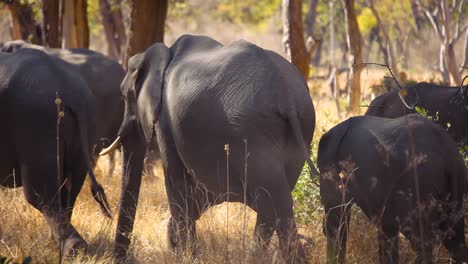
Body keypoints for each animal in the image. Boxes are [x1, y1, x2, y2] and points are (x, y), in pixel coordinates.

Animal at [0, 48, 110, 255]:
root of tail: (73, 95)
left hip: (38, 121)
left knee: (42, 195)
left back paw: (72, 250)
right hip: (87, 122)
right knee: (70, 190)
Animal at [99, 34, 318, 262]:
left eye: (125, 96)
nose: (120, 258)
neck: (161, 53)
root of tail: (287, 97)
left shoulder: (166, 122)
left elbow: (177, 183)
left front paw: (188, 257)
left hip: (253, 134)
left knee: (274, 202)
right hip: (298, 129)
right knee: (273, 204)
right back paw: (255, 256)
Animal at [318, 114, 468, 264]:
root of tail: (447, 156)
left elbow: (336, 216)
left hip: (418, 184)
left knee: (421, 241)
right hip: (457, 182)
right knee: (455, 242)